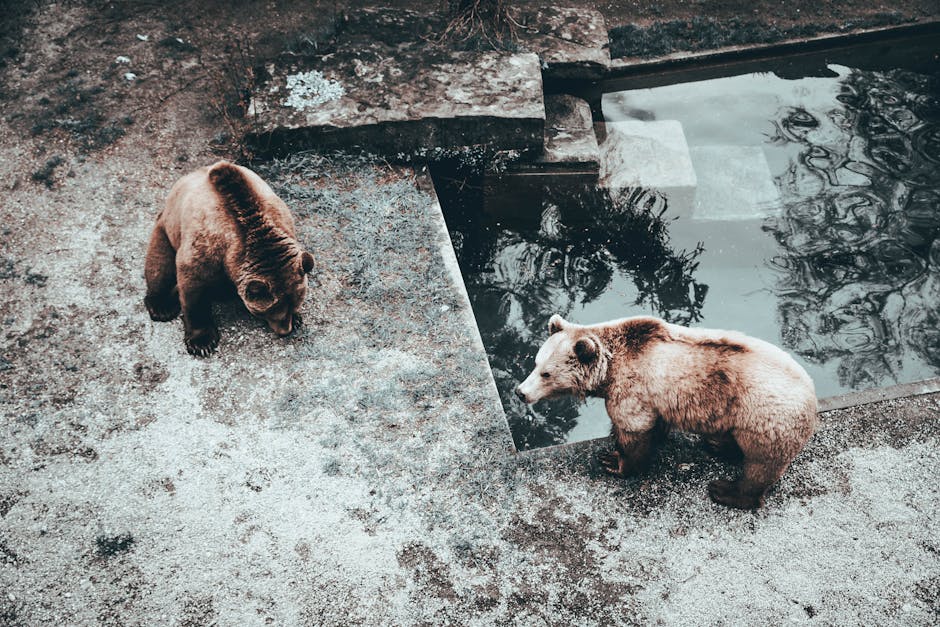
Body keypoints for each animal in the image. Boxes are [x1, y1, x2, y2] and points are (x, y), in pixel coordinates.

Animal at [144, 161, 315, 356]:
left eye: (293, 306)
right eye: (272, 312)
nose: (285, 331)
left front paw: (297, 319)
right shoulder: (206, 247)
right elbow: (193, 290)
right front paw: (202, 342)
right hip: (167, 228)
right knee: (160, 264)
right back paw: (161, 306)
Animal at [516, 314, 817, 509]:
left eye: (546, 373)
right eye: (536, 362)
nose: (520, 392)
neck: (607, 373)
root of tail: (811, 395)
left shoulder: (630, 388)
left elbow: (633, 429)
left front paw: (614, 460)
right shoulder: (653, 397)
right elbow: (654, 424)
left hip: (766, 418)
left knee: (760, 467)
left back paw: (725, 490)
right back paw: (717, 444)